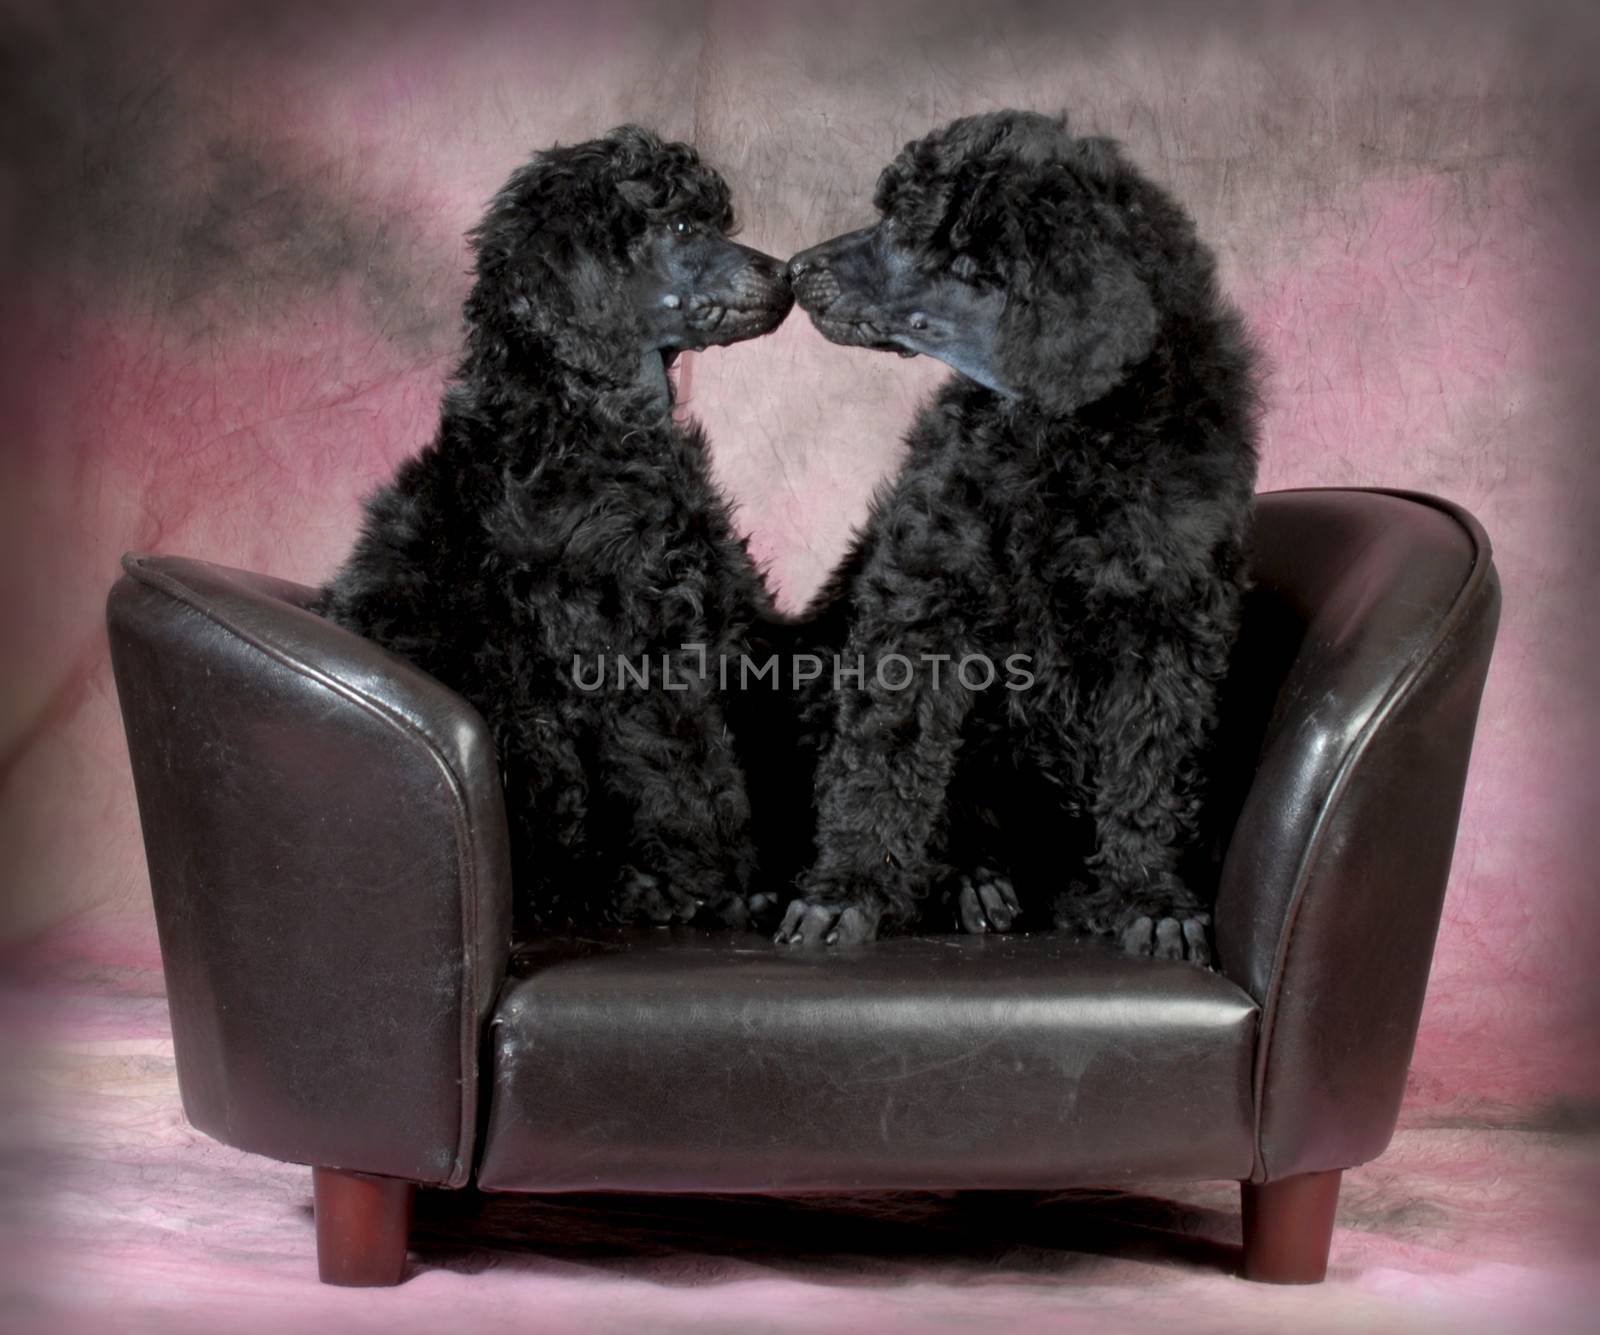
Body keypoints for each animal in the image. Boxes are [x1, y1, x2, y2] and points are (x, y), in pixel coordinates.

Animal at [315, 129, 790, 928]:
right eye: (681, 227)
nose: (788, 274)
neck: (589, 415)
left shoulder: (719, 602)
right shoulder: (627, 647)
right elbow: (688, 776)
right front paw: (718, 884)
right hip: (528, 729)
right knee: (548, 881)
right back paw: (640, 893)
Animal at [780, 106, 1254, 960]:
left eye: (904, 222)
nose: (796, 269)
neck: (1066, 433)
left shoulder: (1169, 622)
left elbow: (1150, 764)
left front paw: (1148, 894)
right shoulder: (923, 596)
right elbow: (883, 752)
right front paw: (847, 890)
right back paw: (970, 880)